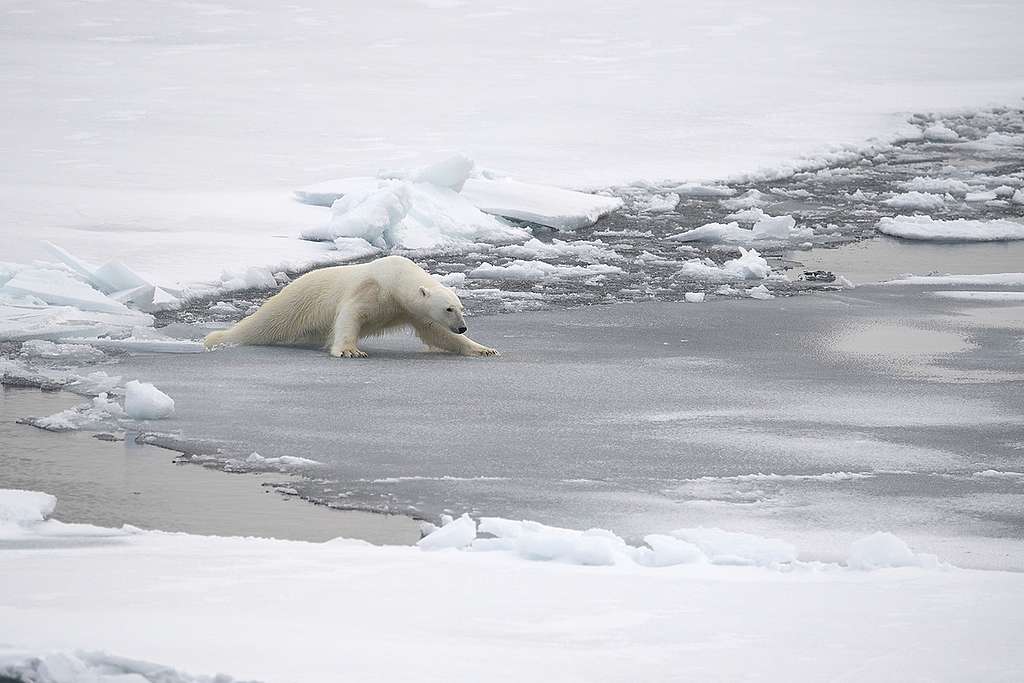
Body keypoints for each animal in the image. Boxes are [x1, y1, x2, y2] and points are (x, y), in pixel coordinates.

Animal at [201, 258, 497, 360]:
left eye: (460, 307)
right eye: (448, 309)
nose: (463, 326)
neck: (395, 278)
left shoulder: (409, 310)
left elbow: (436, 334)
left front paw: (484, 348)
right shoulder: (370, 289)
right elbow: (350, 315)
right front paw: (350, 351)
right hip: (295, 302)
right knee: (265, 324)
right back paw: (216, 338)